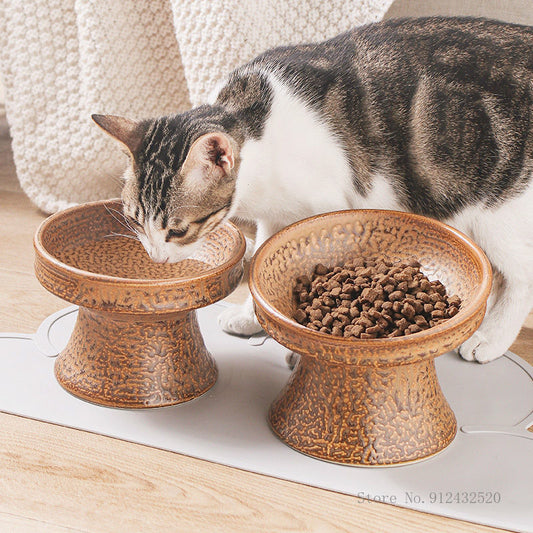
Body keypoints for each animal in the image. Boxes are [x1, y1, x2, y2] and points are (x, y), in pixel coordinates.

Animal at [92, 17, 532, 366]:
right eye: (134, 221)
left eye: (179, 230)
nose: (157, 259)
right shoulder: (274, 217)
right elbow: (263, 261)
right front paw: (251, 316)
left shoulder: (326, 207)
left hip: (499, 210)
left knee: (521, 274)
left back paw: (490, 337)